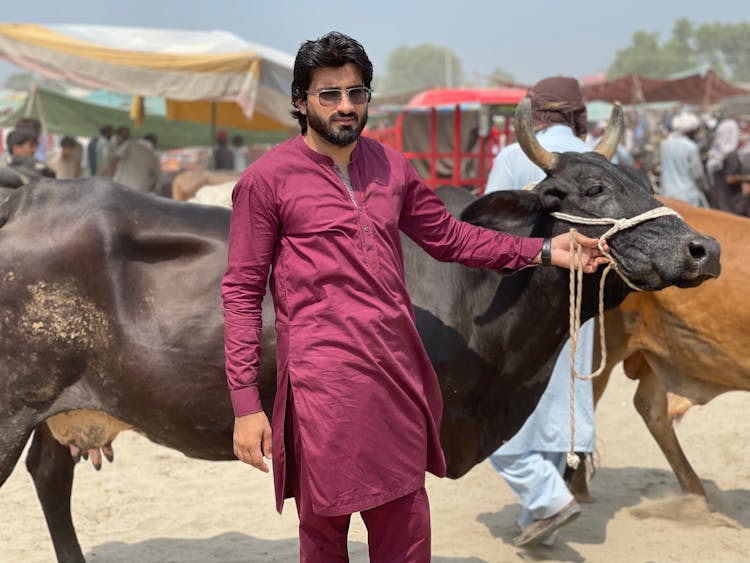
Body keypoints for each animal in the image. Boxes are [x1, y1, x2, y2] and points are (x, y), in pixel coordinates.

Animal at [0, 103, 724, 560]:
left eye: (645, 179)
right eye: (593, 188)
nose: (704, 249)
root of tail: (30, 196)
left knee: (50, 477)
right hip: (12, 409)